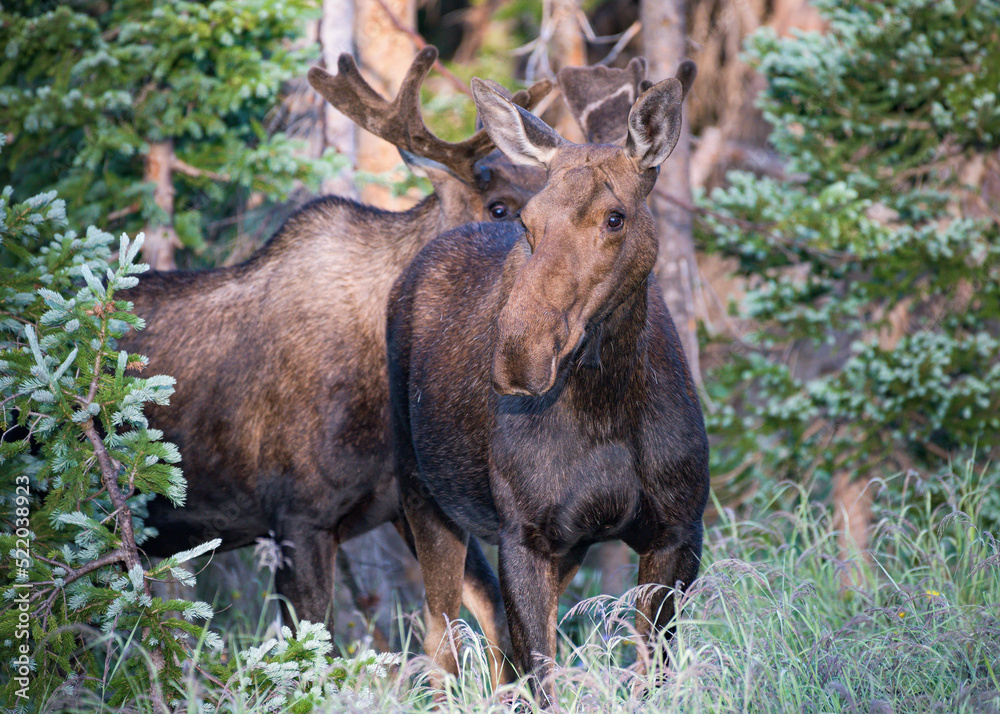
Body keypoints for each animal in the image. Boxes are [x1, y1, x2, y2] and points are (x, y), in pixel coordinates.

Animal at [385, 60, 707, 702]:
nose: (519, 355)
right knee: (441, 643)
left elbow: (649, 674)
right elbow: (542, 678)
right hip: (420, 493)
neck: (608, 406)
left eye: (615, 217)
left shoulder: (678, 531)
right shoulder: (524, 535)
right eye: (526, 222)